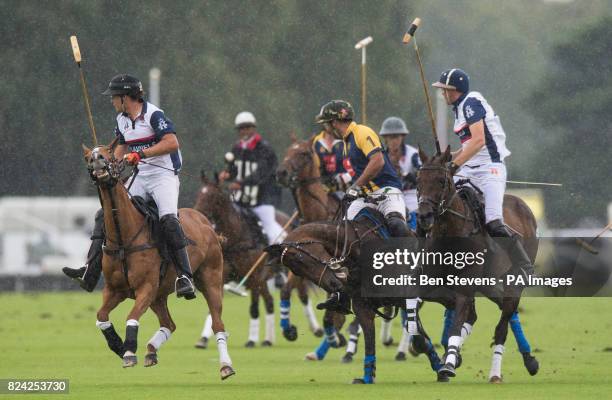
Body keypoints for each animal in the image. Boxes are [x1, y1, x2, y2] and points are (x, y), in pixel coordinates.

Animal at [82, 142, 234, 380]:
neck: (124, 238)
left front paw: (129, 352)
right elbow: (101, 315)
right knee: (169, 324)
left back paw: (226, 366)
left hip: (211, 280)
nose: (97, 160)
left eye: (108, 153)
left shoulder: (146, 287)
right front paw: (119, 345)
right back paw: (151, 351)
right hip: (159, 294)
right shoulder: (114, 290)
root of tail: (207, 223)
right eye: (88, 157)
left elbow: (132, 316)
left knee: (218, 324)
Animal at [192, 174, 296, 346]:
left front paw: (252, 340)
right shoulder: (221, 277)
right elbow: (214, 308)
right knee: (269, 302)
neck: (237, 239)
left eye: (213, 196)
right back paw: (269, 338)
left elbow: (253, 308)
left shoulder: (254, 277)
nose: (198, 214)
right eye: (199, 193)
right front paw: (203, 339)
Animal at [416, 147, 540, 382]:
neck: (451, 230)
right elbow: (456, 309)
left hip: (514, 280)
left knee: (503, 324)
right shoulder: (431, 283)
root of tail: (525, 207)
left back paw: (496, 373)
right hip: (488, 283)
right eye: (418, 180)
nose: (423, 216)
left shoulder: (466, 284)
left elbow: (458, 321)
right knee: (498, 308)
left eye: (441, 181)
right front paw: (451, 357)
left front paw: (448, 364)